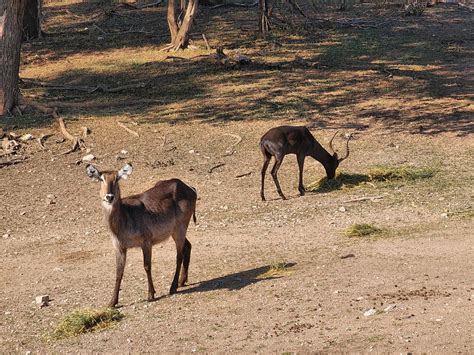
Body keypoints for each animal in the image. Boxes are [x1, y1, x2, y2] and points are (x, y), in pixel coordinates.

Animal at [86, 164, 197, 308]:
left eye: (116, 179)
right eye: (101, 179)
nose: (109, 196)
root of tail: (191, 188)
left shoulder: (146, 241)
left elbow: (147, 266)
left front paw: (151, 295)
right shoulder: (119, 247)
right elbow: (119, 272)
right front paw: (112, 302)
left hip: (180, 227)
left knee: (179, 256)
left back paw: (173, 287)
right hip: (176, 231)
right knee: (187, 246)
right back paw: (182, 281)